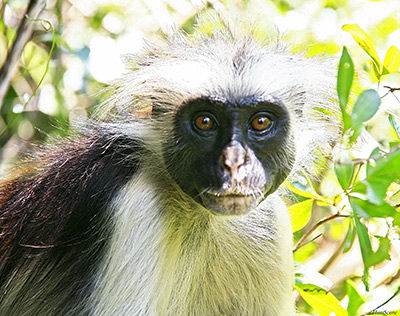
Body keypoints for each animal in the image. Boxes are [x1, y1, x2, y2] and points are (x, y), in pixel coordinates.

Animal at [0, 20, 340, 316]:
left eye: (260, 122)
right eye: (205, 122)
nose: (234, 163)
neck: (200, 217)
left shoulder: (270, 222)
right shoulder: (136, 207)